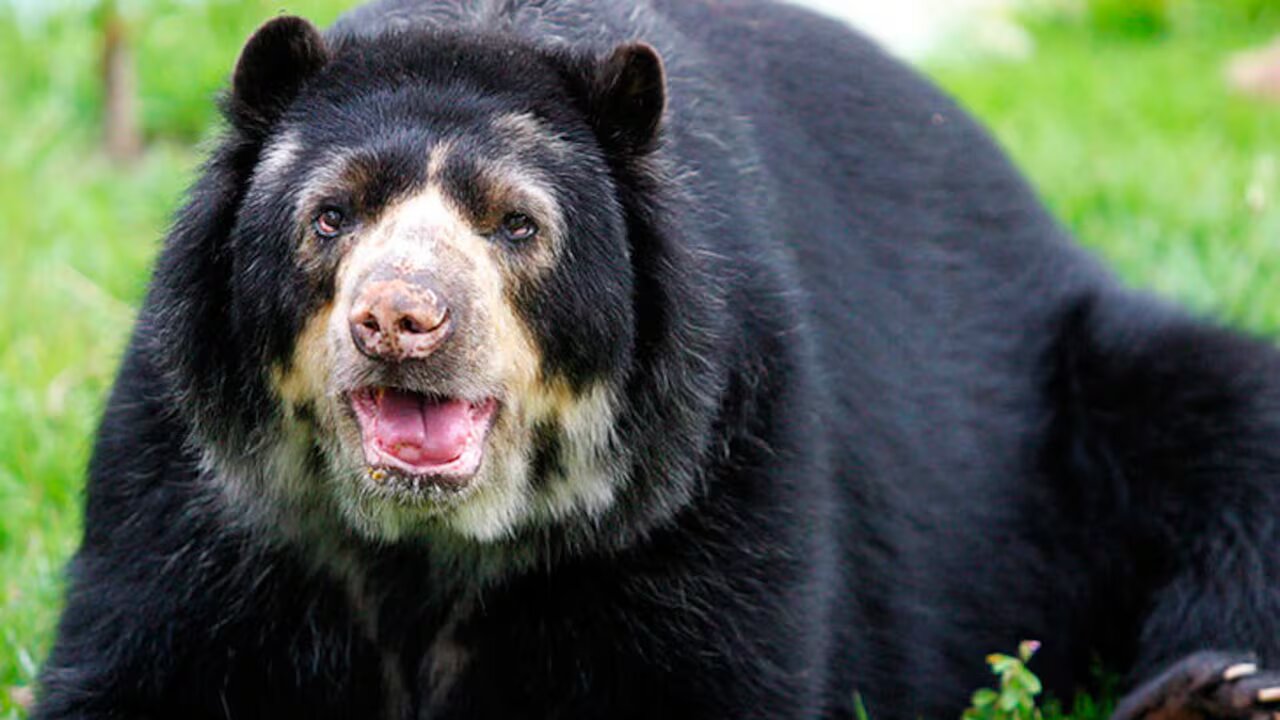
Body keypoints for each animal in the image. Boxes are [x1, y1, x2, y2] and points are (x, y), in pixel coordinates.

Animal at [32, 0, 1280, 718]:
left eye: (515, 225)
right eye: (329, 216)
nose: (400, 320)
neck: (426, 549)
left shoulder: (712, 471)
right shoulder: (197, 486)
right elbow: (134, 665)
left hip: (1083, 389)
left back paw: (1212, 693)